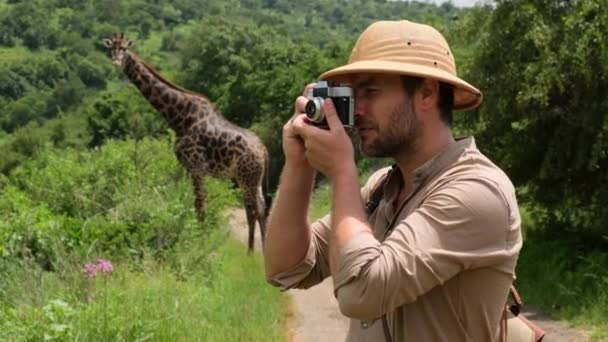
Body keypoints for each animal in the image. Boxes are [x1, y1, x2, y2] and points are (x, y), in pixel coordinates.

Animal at [103, 34, 270, 254]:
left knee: (256, 210)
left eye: (124, 48)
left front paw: (200, 245)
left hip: (247, 178)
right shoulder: (185, 166)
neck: (179, 117)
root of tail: (264, 151)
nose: (115, 62)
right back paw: (251, 252)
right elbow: (183, 202)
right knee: (258, 209)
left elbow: (200, 208)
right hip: (251, 179)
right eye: (111, 48)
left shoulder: (197, 166)